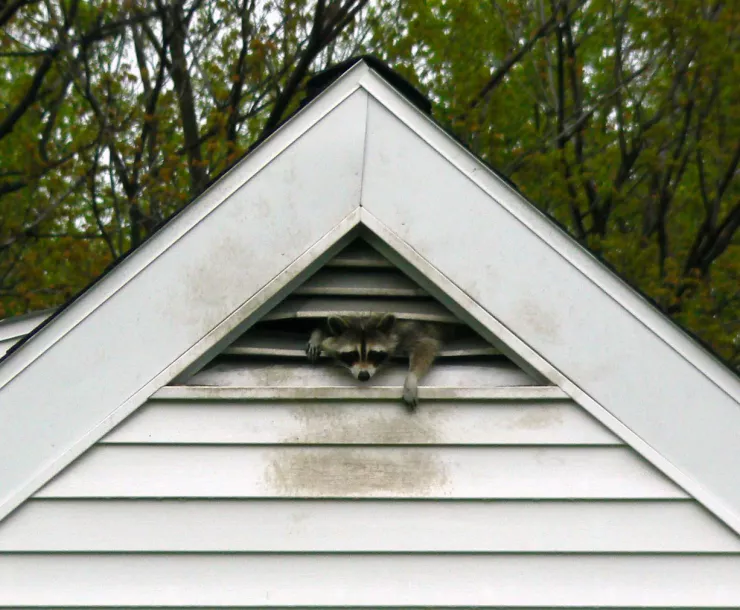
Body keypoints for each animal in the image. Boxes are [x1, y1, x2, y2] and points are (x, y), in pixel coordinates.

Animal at [305, 313, 445, 411]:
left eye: (373, 354)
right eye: (352, 354)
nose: (363, 376)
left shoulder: (409, 329)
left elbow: (426, 343)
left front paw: (411, 378)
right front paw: (316, 336)